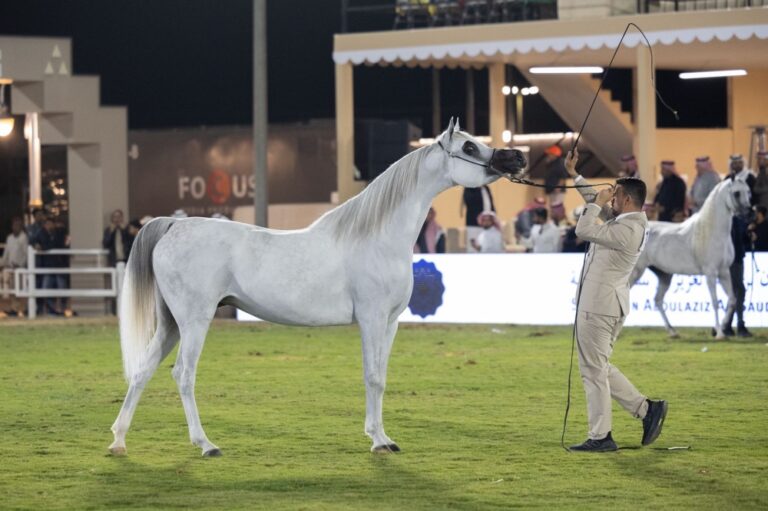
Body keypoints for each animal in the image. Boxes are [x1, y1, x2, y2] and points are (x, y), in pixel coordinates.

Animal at [109, 119, 528, 456]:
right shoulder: (372, 319)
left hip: (171, 323)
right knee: (183, 374)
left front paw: (380, 435)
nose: (518, 158)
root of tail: (173, 224)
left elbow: (381, 377)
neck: (377, 236)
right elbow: (372, 376)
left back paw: (118, 441)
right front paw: (379, 442)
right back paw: (205, 444)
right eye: (469, 147)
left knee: (142, 371)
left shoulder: (390, 323)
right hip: (194, 321)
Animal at [632, 172, 752, 340]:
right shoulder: (710, 272)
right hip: (637, 272)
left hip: (664, 275)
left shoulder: (724, 272)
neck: (712, 231)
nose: (749, 213)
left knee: (658, 300)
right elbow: (715, 302)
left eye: (748, 191)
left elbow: (732, 300)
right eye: (736, 193)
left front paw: (721, 328)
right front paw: (719, 333)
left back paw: (673, 332)